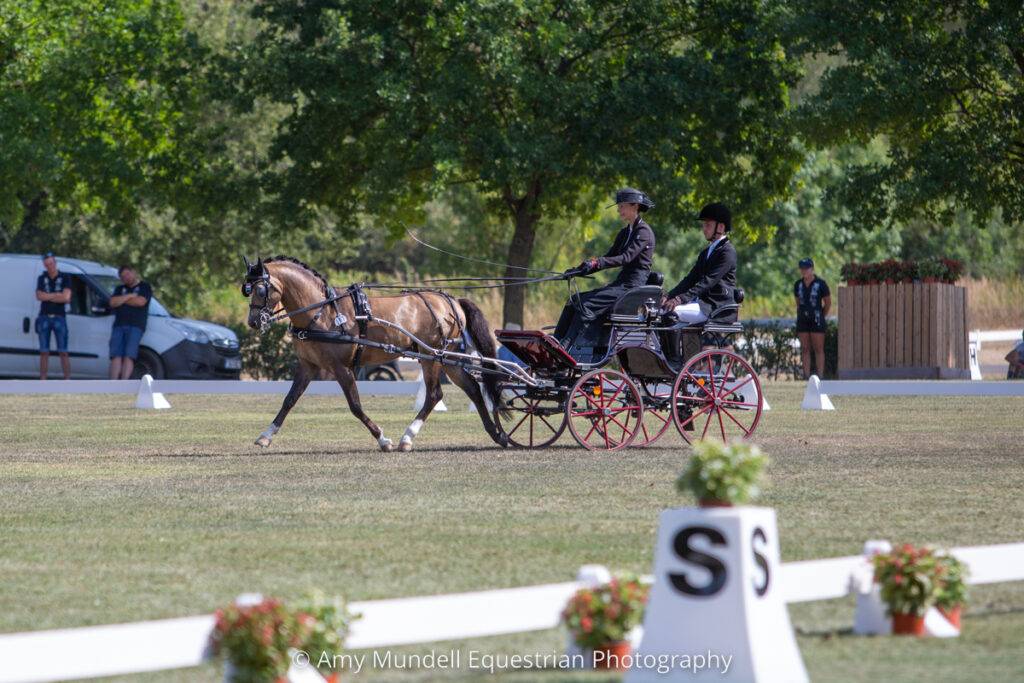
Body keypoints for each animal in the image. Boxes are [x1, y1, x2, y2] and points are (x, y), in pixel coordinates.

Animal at [241, 256, 509, 451]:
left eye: (261, 290)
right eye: (247, 289)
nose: (253, 322)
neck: (322, 312)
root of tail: (450, 299)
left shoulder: (341, 368)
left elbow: (355, 405)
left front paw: (383, 440)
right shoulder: (308, 365)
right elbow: (289, 400)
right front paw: (265, 436)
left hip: (432, 356)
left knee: (434, 394)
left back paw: (406, 438)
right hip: (448, 358)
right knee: (472, 388)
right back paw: (498, 435)